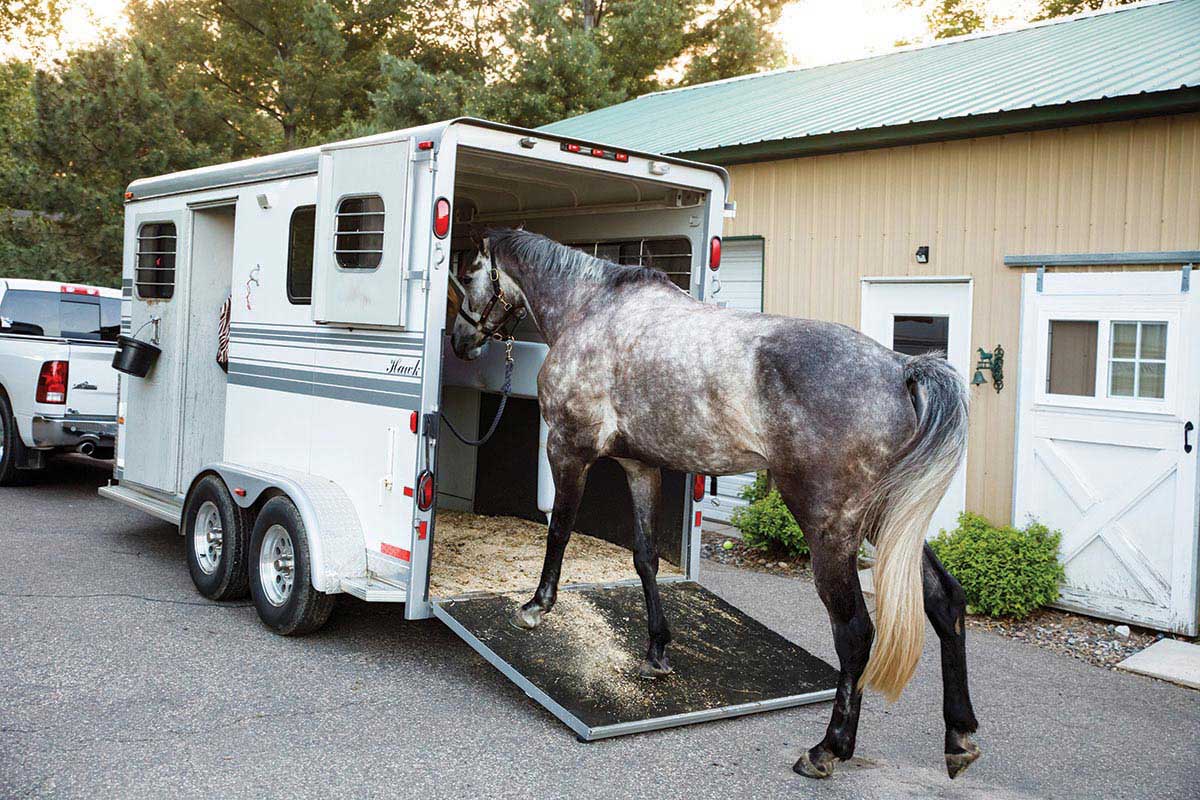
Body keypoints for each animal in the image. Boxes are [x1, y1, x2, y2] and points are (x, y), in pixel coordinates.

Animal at [449, 227, 980, 780]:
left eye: (468, 273)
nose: (460, 341)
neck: (591, 308)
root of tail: (902, 368)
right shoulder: (640, 467)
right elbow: (645, 558)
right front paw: (656, 652)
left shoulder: (569, 449)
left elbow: (559, 530)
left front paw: (535, 607)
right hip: (887, 518)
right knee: (944, 599)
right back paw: (959, 735)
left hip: (831, 526)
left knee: (855, 631)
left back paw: (827, 750)